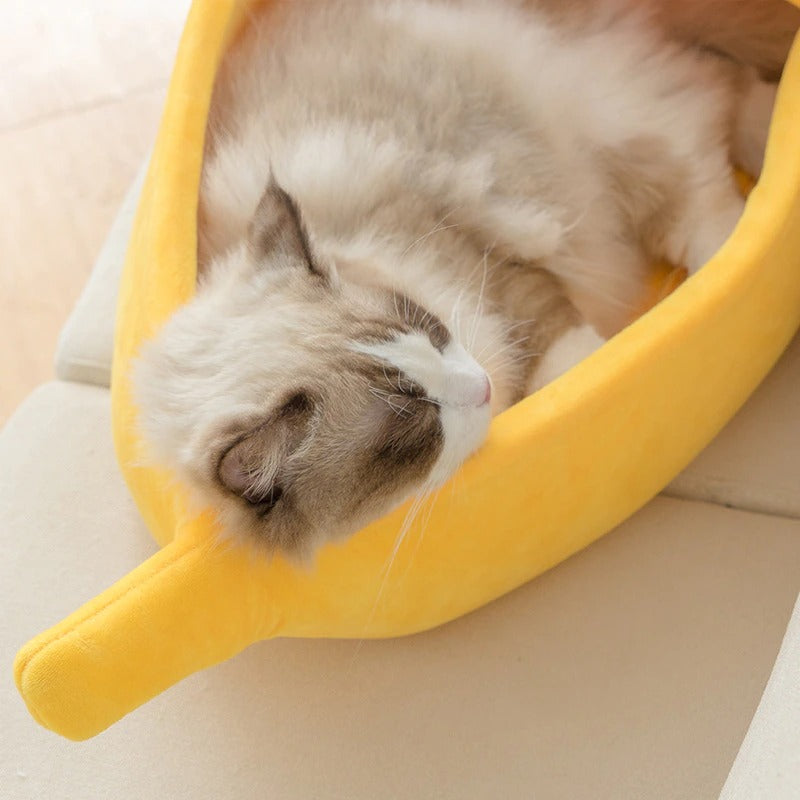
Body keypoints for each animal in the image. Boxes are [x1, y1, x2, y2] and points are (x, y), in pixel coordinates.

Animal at [134, 0, 792, 560]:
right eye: (412, 430)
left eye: (427, 329)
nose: (481, 387)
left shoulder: (489, 263)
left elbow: (566, 350)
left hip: (612, 127)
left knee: (715, 157)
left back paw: (741, 241)